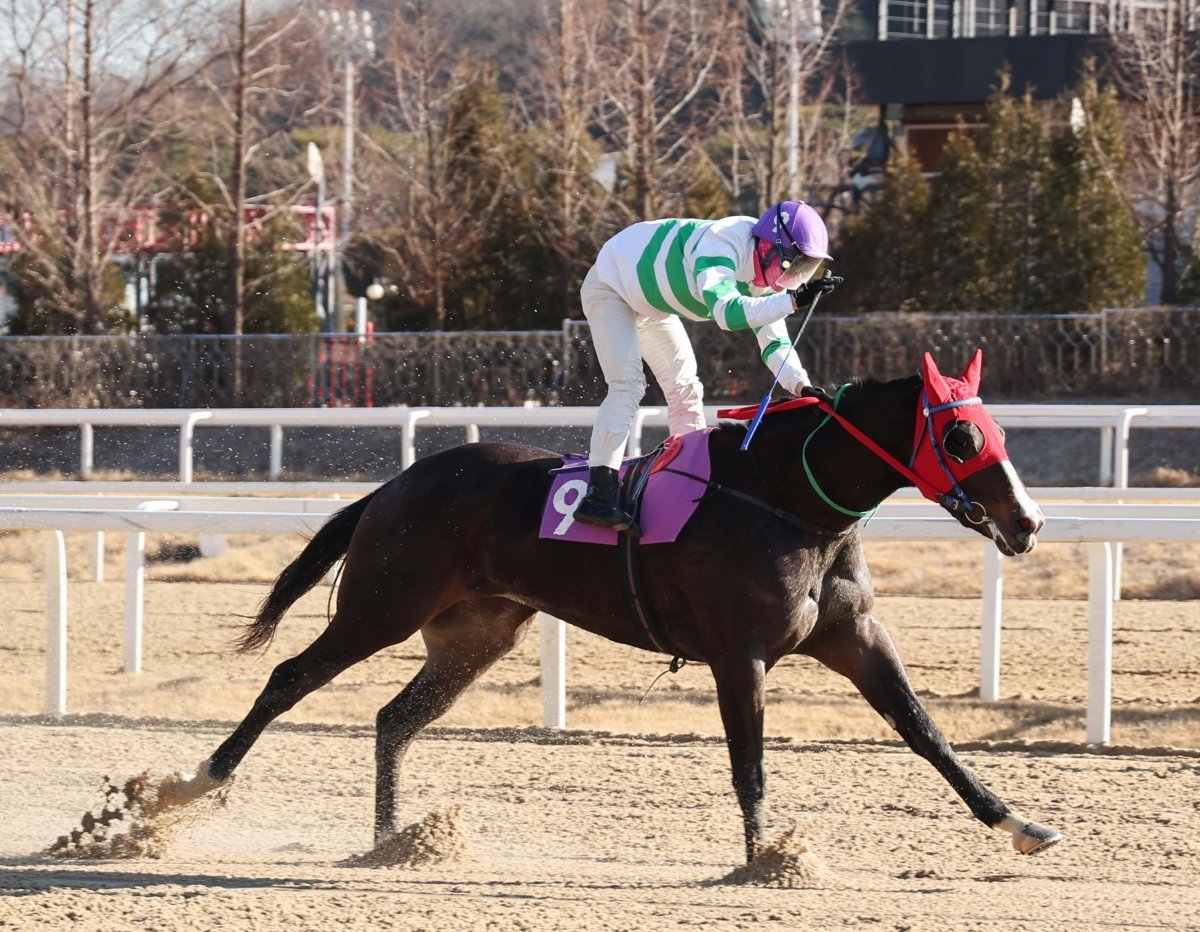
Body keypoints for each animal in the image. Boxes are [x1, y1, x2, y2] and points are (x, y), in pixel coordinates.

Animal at [166, 350, 1060, 863]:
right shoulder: (739, 655)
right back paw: (191, 784)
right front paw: (766, 859)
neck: (785, 497)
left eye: (997, 431)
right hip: (380, 608)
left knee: (394, 718)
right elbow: (750, 763)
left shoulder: (853, 637)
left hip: (475, 637)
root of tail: (394, 485)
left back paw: (396, 842)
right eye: (962, 439)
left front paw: (1017, 822)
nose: (1027, 523)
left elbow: (925, 730)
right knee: (288, 678)